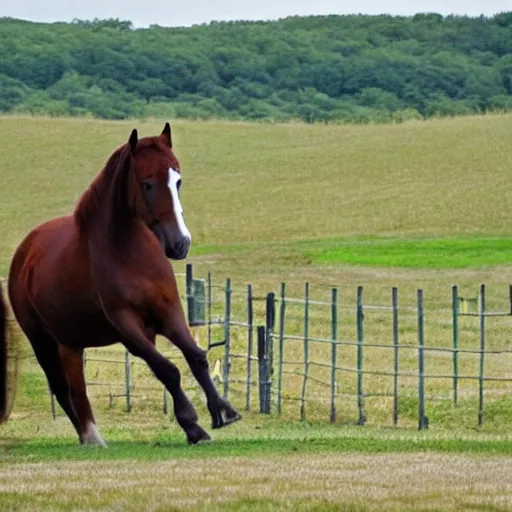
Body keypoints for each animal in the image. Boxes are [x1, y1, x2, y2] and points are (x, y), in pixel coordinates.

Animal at [7, 123, 240, 444]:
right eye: (147, 184)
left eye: (177, 181)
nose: (180, 243)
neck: (130, 254)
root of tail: (26, 251)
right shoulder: (127, 325)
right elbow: (167, 369)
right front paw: (192, 425)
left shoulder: (170, 312)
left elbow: (196, 357)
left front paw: (223, 411)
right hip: (42, 341)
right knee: (62, 387)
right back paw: (91, 437)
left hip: (70, 343)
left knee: (75, 388)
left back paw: (91, 436)